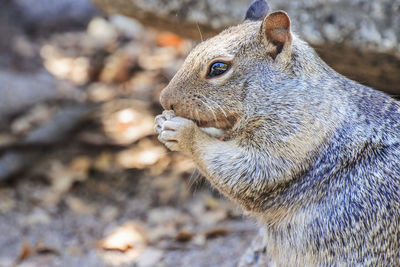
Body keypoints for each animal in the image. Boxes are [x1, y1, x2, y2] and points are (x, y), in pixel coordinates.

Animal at [155, 1, 398, 266]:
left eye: (218, 68)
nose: (164, 100)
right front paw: (161, 122)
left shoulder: (294, 137)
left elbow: (246, 170)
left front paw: (181, 131)